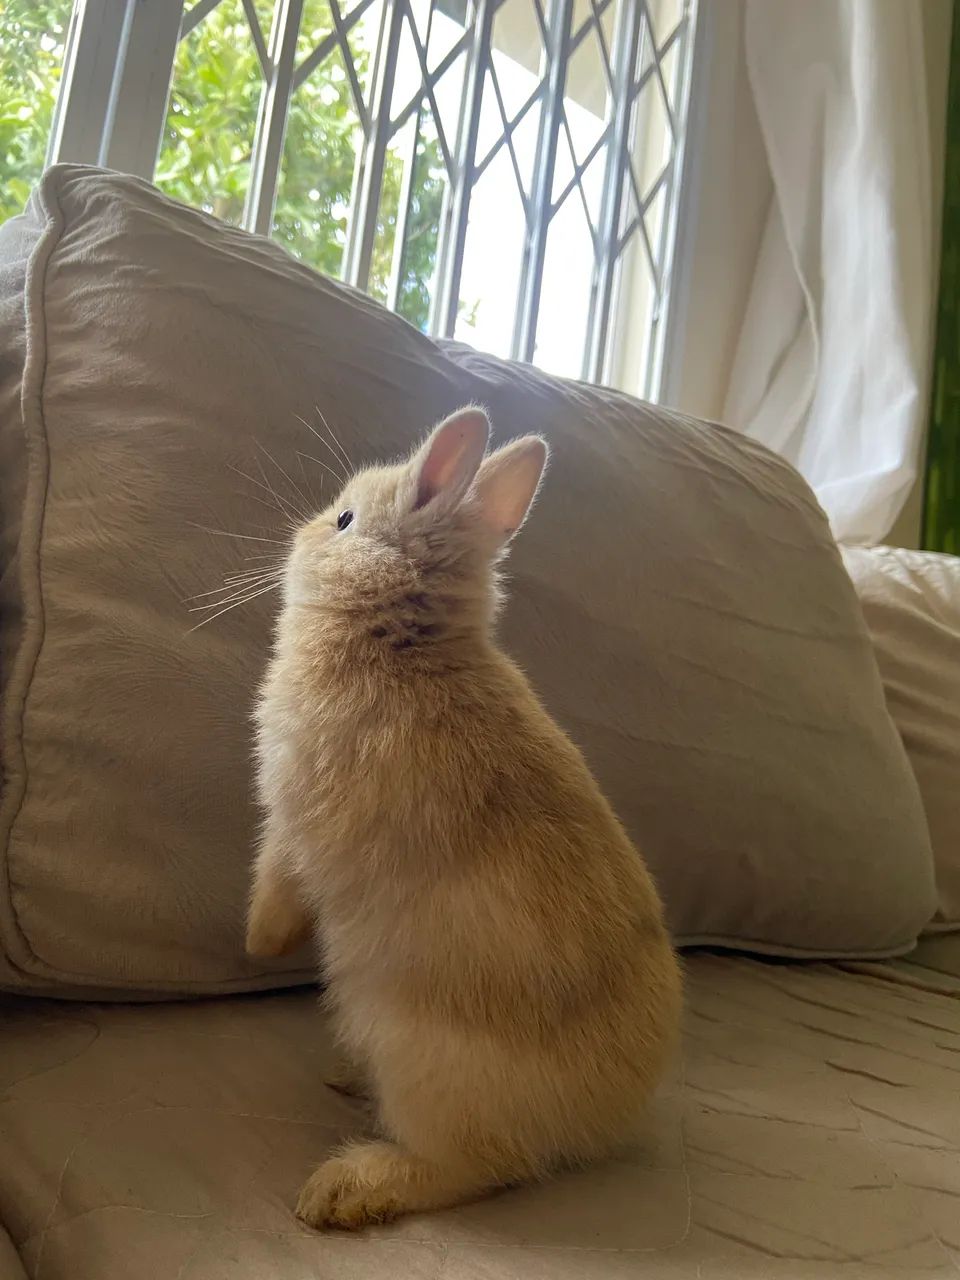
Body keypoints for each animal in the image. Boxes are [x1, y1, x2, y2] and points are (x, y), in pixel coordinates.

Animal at [245, 405, 682, 1230]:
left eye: (346, 520)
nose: (300, 533)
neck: (399, 635)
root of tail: (599, 1121)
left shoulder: (292, 819)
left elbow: (277, 879)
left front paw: (258, 942)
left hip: (423, 1065)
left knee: (477, 1168)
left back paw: (344, 1189)